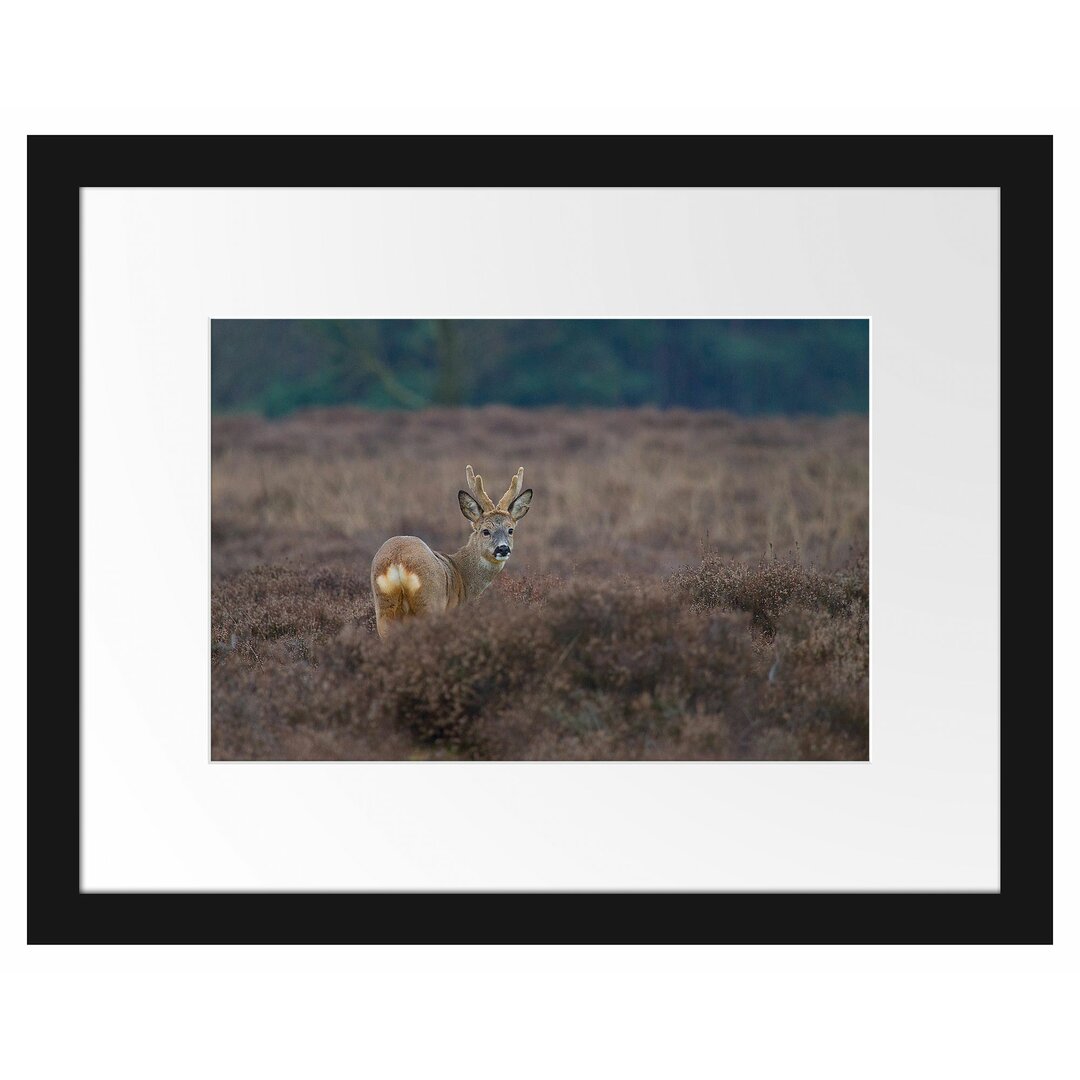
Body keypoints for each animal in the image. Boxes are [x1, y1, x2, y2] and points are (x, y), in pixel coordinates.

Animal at [369, 466, 533, 639]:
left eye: (510, 530)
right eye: (485, 531)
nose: (503, 548)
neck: (462, 575)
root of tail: (398, 561)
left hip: (384, 607)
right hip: (430, 601)